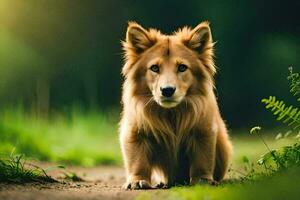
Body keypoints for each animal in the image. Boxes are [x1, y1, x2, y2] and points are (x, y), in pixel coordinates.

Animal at [119, 21, 232, 189]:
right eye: (154, 68)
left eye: (182, 67)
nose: (167, 90)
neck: (171, 114)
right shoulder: (135, 133)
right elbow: (138, 161)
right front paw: (137, 180)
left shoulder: (204, 131)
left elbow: (202, 159)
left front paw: (203, 179)